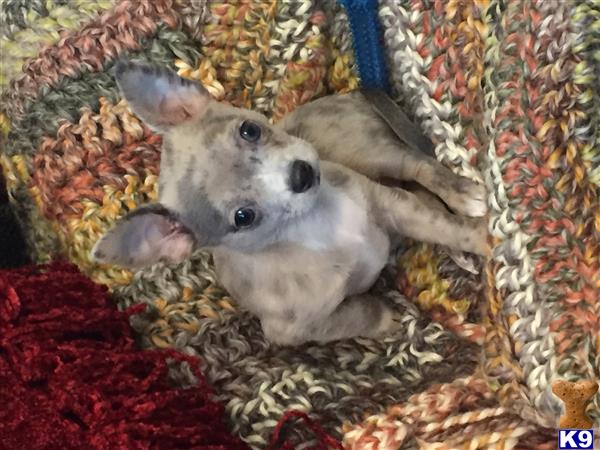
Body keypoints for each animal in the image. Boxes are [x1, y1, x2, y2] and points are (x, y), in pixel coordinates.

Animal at [92, 61, 488, 346]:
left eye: (249, 130)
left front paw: (488, 240)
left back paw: (464, 197)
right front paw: (385, 316)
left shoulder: (392, 205)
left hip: (372, 156)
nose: (301, 174)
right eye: (243, 216)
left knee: (420, 168)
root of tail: (349, 94)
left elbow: (454, 229)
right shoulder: (294, 330)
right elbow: (356, 316)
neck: (317, 226)